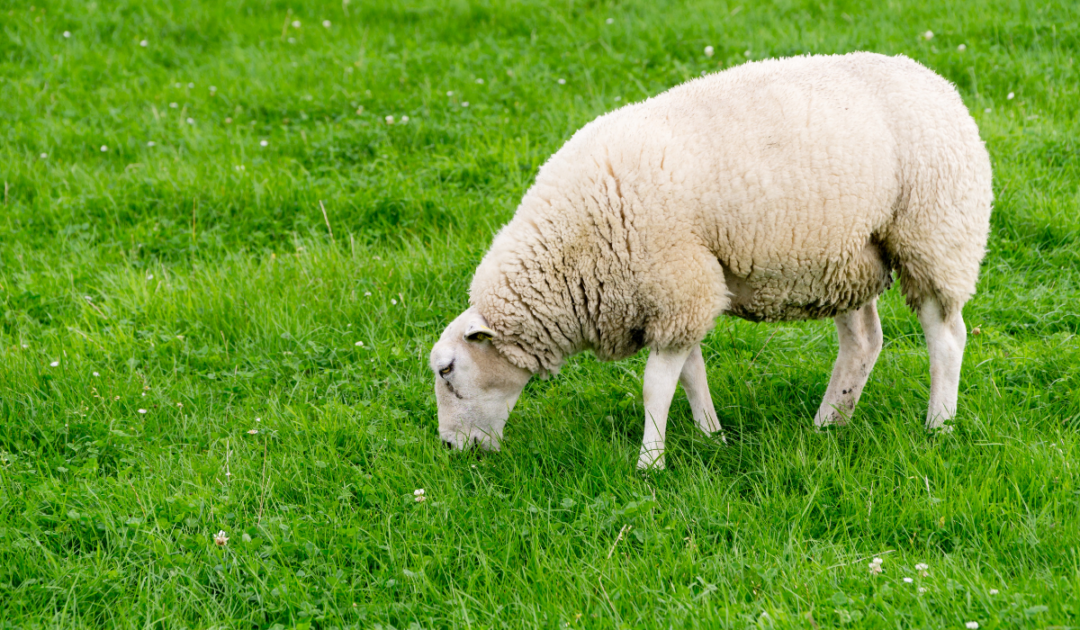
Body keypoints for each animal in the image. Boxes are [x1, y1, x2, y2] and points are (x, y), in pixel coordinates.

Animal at [430, 52, 993, 469]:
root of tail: (942, 85)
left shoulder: (676, 283)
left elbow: (656, 385)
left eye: (447, 370)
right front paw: (710, 437)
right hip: (848, 257)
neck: (572, 249)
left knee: (946, 336)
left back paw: (939, 424)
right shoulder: (683, 290)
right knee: (863, 343)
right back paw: (831, 421)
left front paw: (650, 464)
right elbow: (690, 374)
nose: (449, 448)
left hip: (936, 234)